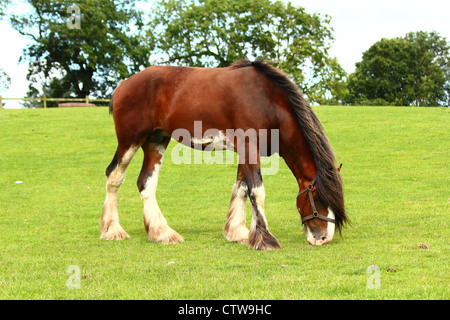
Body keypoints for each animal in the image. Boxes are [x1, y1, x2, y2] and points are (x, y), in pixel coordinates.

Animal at [101, 59, 348, 250]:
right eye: (318, 198)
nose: (324, 238)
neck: (266, 102)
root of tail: (124, 84)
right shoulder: (249, 147)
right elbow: (256, 191)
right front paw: (265, 239)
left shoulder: (245, 151)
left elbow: (241, 189)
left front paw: (238, 232)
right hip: (130, 141)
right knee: (114, 177)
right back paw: (112, 230)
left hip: (156, 140)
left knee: (146, 183)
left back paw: (161, 233)